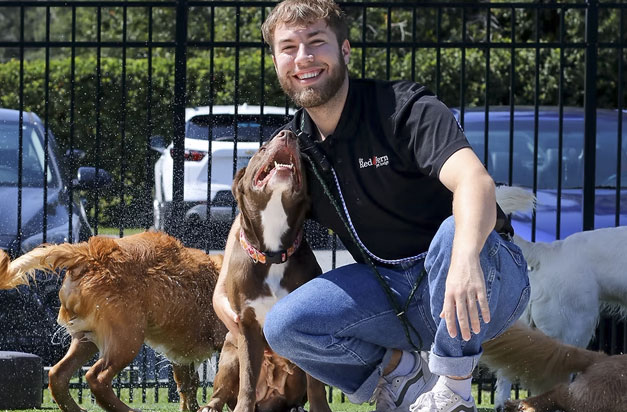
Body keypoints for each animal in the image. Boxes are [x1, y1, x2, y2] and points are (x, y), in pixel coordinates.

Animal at [0, 232, 226, 412]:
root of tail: (89, 254)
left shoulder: (183, 357)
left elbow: (189, 385)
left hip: (87, 337)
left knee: (58, 374)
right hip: (127, 338)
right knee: (96, 378)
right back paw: (128, 410)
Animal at [202, 130, 332, 412]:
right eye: (262, 148)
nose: (288, 133)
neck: (273, 251)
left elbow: (316, 383)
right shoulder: (246, 324)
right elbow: (248, 378)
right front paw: (243, 408)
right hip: (229, 353)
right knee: (224, 388)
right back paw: (210, 406)